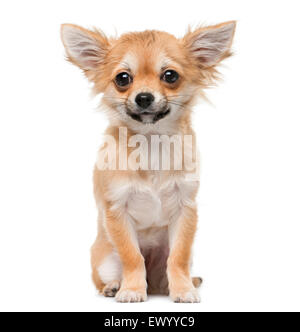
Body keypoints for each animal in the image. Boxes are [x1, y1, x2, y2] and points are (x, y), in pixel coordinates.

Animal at [60, 22, 234, 304]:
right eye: (123, 78)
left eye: (170, 76)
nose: (143, 97)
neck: (152, 143)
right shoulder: (116, 210)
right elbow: (132, 256)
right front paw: (131, 290)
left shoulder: (186, 209)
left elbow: (178, 257)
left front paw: (183, 290)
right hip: (105, 260)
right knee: (108, 276)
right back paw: (114, 286)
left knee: (167, 275)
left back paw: (181, 284)